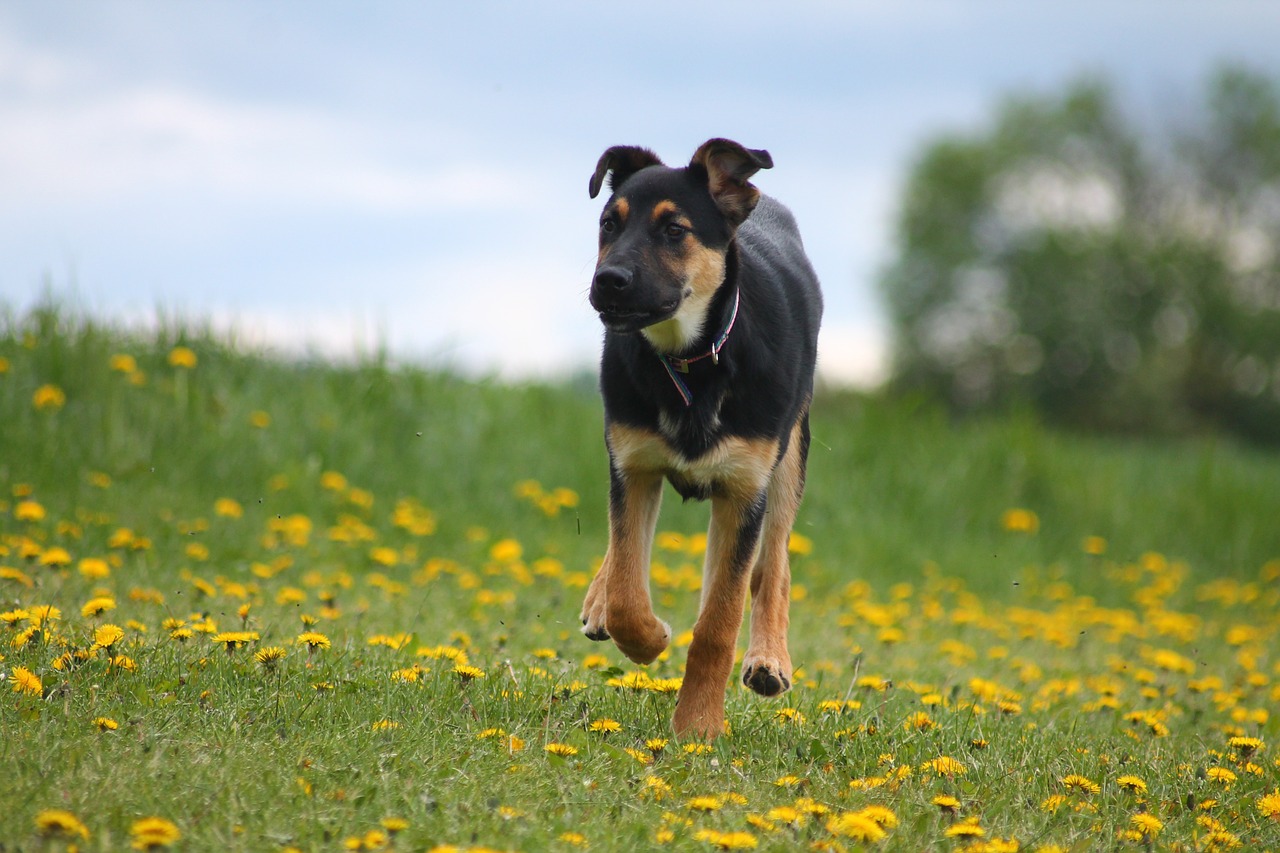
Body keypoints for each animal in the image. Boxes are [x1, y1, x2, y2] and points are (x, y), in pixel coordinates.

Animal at [583, 136, 824, 732]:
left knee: (773, 564)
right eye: (608, 224)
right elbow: (627, 589)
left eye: (675, 230)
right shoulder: (633, 465)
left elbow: (719, 621)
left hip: (790, 456)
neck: (690, 360)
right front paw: (647, 639)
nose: (607, 281)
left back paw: (769, 659)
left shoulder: (743, 488)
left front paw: (697, 729)